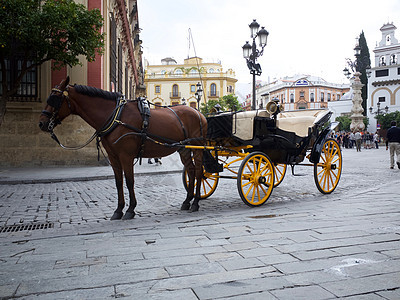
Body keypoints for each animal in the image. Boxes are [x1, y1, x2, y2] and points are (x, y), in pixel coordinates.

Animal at [38, 76, 208, 219]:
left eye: (54, 99)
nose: (42, 123)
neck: (116, 117)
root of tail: (198, 113)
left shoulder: (126, 156)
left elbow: (129, 181)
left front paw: (130, 209)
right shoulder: (114, 157)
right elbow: (119, 182)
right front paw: (118, 209)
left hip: (197, 147)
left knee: (199, 171)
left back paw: (195, 202)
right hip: (184, 148)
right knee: (191, 170)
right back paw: (187, 201)